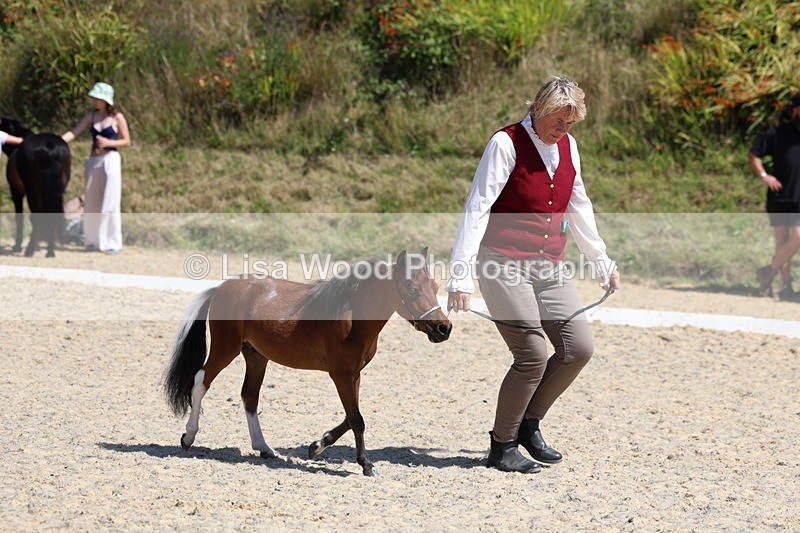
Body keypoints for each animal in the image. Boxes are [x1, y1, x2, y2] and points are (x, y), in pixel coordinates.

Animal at [1, 116, 71, 257]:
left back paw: (30, 250)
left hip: (32, 191)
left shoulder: (16, 191)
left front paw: (18, 246)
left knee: (36, 216)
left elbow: (20, 218)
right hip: (55, 191)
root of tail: (50, 147)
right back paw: (50, 252)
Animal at [164, 248, 453, 476]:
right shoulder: (340, 374)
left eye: (436, 288)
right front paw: (366, 465)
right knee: (200, 382)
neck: (351, 315)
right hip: (227, 347)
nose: (444, 328)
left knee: (249, 396)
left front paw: (316, 446)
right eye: (412, 289)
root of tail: (220, 288)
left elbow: (350, 417)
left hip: (256, 356)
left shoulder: (354, 374)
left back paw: (264, 448)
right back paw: (188, 437)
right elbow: (357, 419)